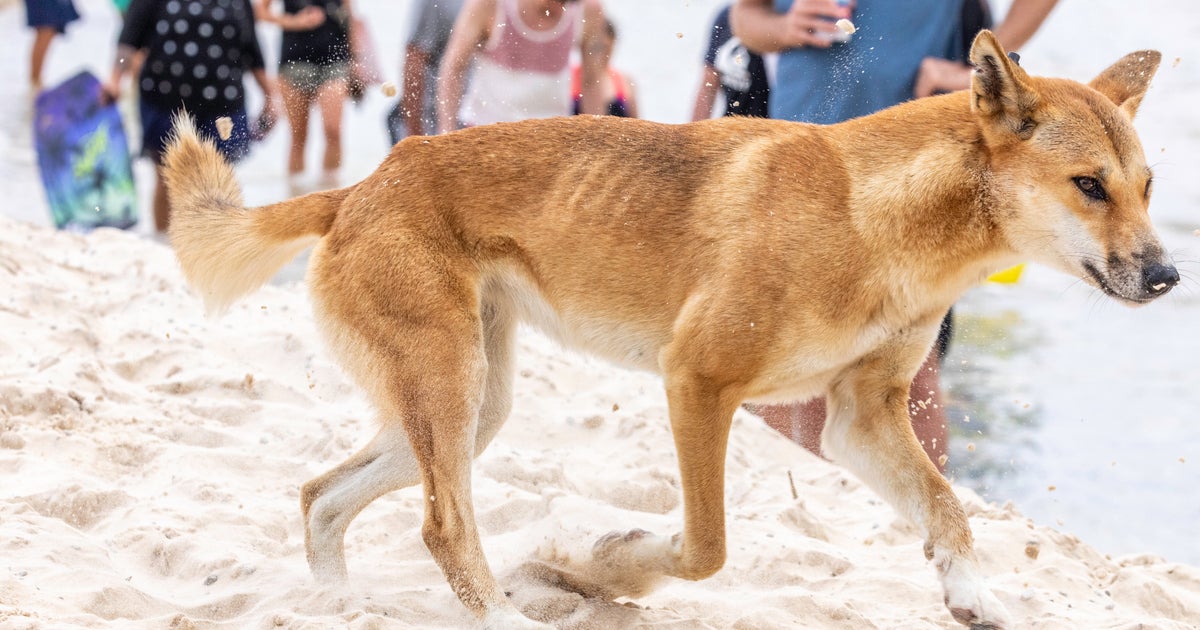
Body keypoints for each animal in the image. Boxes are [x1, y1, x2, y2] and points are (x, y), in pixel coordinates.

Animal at [162, 31, 1171, 624]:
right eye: (1088, 186)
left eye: (1148, 186)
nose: (1167, 276)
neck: (872, 218)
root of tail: (359, 187)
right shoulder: (699, 383)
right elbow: (705, 546)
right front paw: (612, 565)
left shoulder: (863, 418)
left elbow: (948, 509)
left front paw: (971, 592)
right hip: (449, 391)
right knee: (444, 529)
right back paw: (498, 611)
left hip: (470, 405)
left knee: (321, 497)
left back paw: (338, 606)